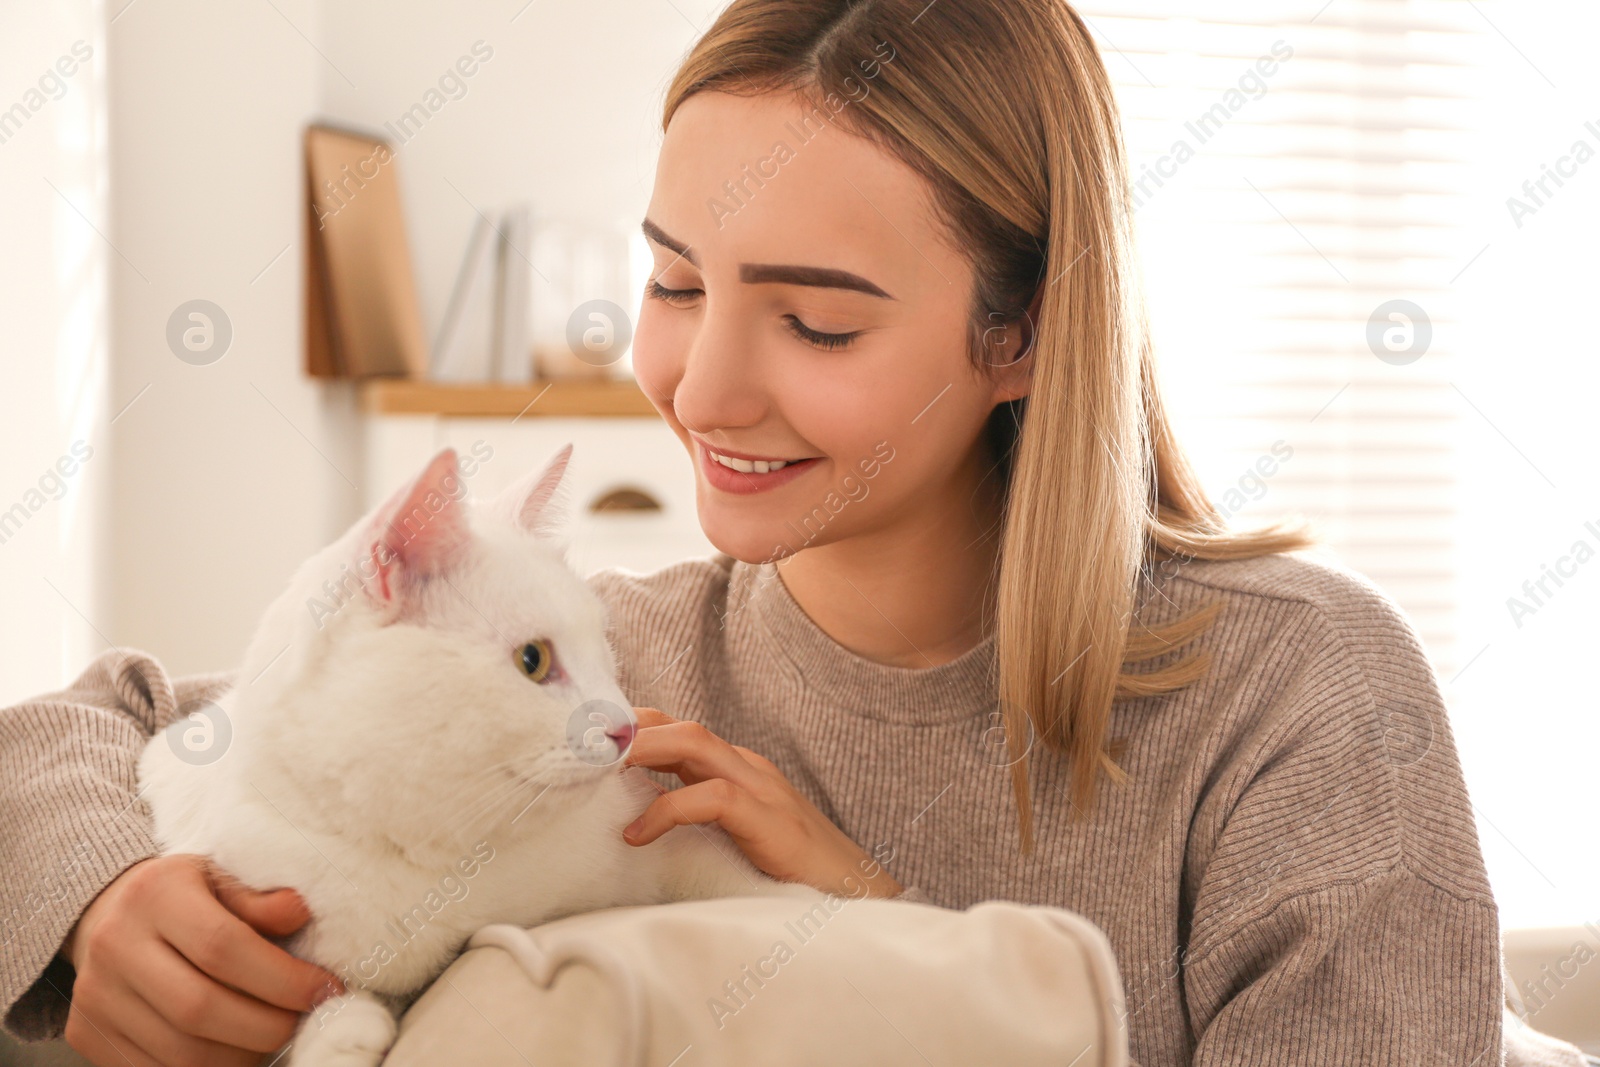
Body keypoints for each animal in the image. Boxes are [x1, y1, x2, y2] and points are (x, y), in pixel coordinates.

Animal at [134, 447, 825, 1062]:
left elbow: (744, 883)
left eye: (604, 644)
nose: (626, 728)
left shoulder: (658, 837)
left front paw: (831, 907)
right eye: (533, 660)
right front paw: (339, 1035)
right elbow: (324, 994)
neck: (451, 867)